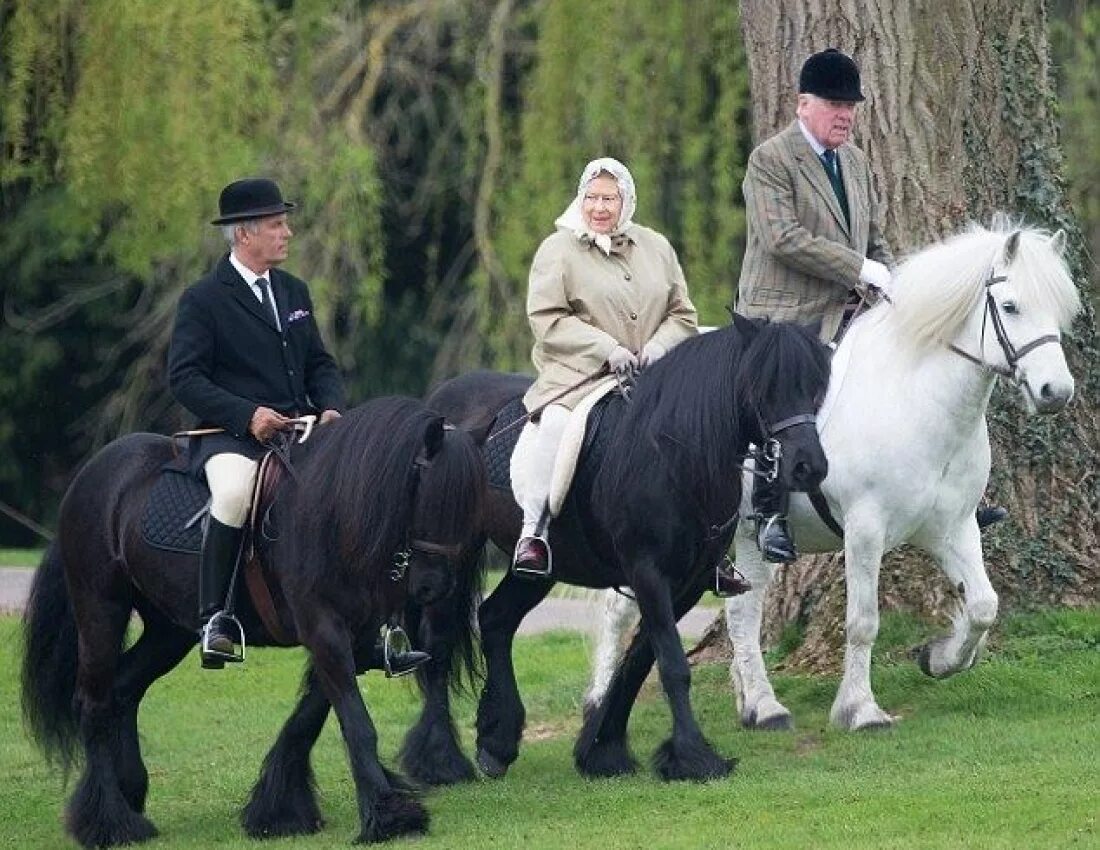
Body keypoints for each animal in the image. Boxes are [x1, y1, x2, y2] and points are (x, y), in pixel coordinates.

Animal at [19, 395, 486, 840]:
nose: (434, 587)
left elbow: (309, 717)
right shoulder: (324, 629)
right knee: (94, 702)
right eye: (427, 493)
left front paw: (278, 809)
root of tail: (92, 474)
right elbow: (356, 722)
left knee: (124, 689)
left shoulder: (352, 636)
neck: (333, 513)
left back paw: (129, 793)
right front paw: (388, 817)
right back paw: (108, 822)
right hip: (101, 609)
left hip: (168, 631)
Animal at [407, 314, 831, 787]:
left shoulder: (687, 583)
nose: (808, 466)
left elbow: (640, 660)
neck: (672, 454)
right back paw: (441, 761)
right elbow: (672, 664)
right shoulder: (648, 573)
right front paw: (694, 756)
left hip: (540, 568)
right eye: (762, 385)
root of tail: (440, 404)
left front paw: (602, 750)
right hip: (445, 559)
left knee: (496, 621)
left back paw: (496, 742)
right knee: (439, 645)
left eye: (816, 384)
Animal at [589, 222, 1078, 734]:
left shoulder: (953, 527)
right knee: (624, 608)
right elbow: (863, 622)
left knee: (742, 610)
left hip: (739, 538)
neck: (917, 400)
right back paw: (608, 703)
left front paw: (939, 658)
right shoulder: (865, 529)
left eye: (1062, 308)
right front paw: (860, 709)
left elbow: (984, 606)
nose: (1056, 392)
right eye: (1011, 306)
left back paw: (757, 703)